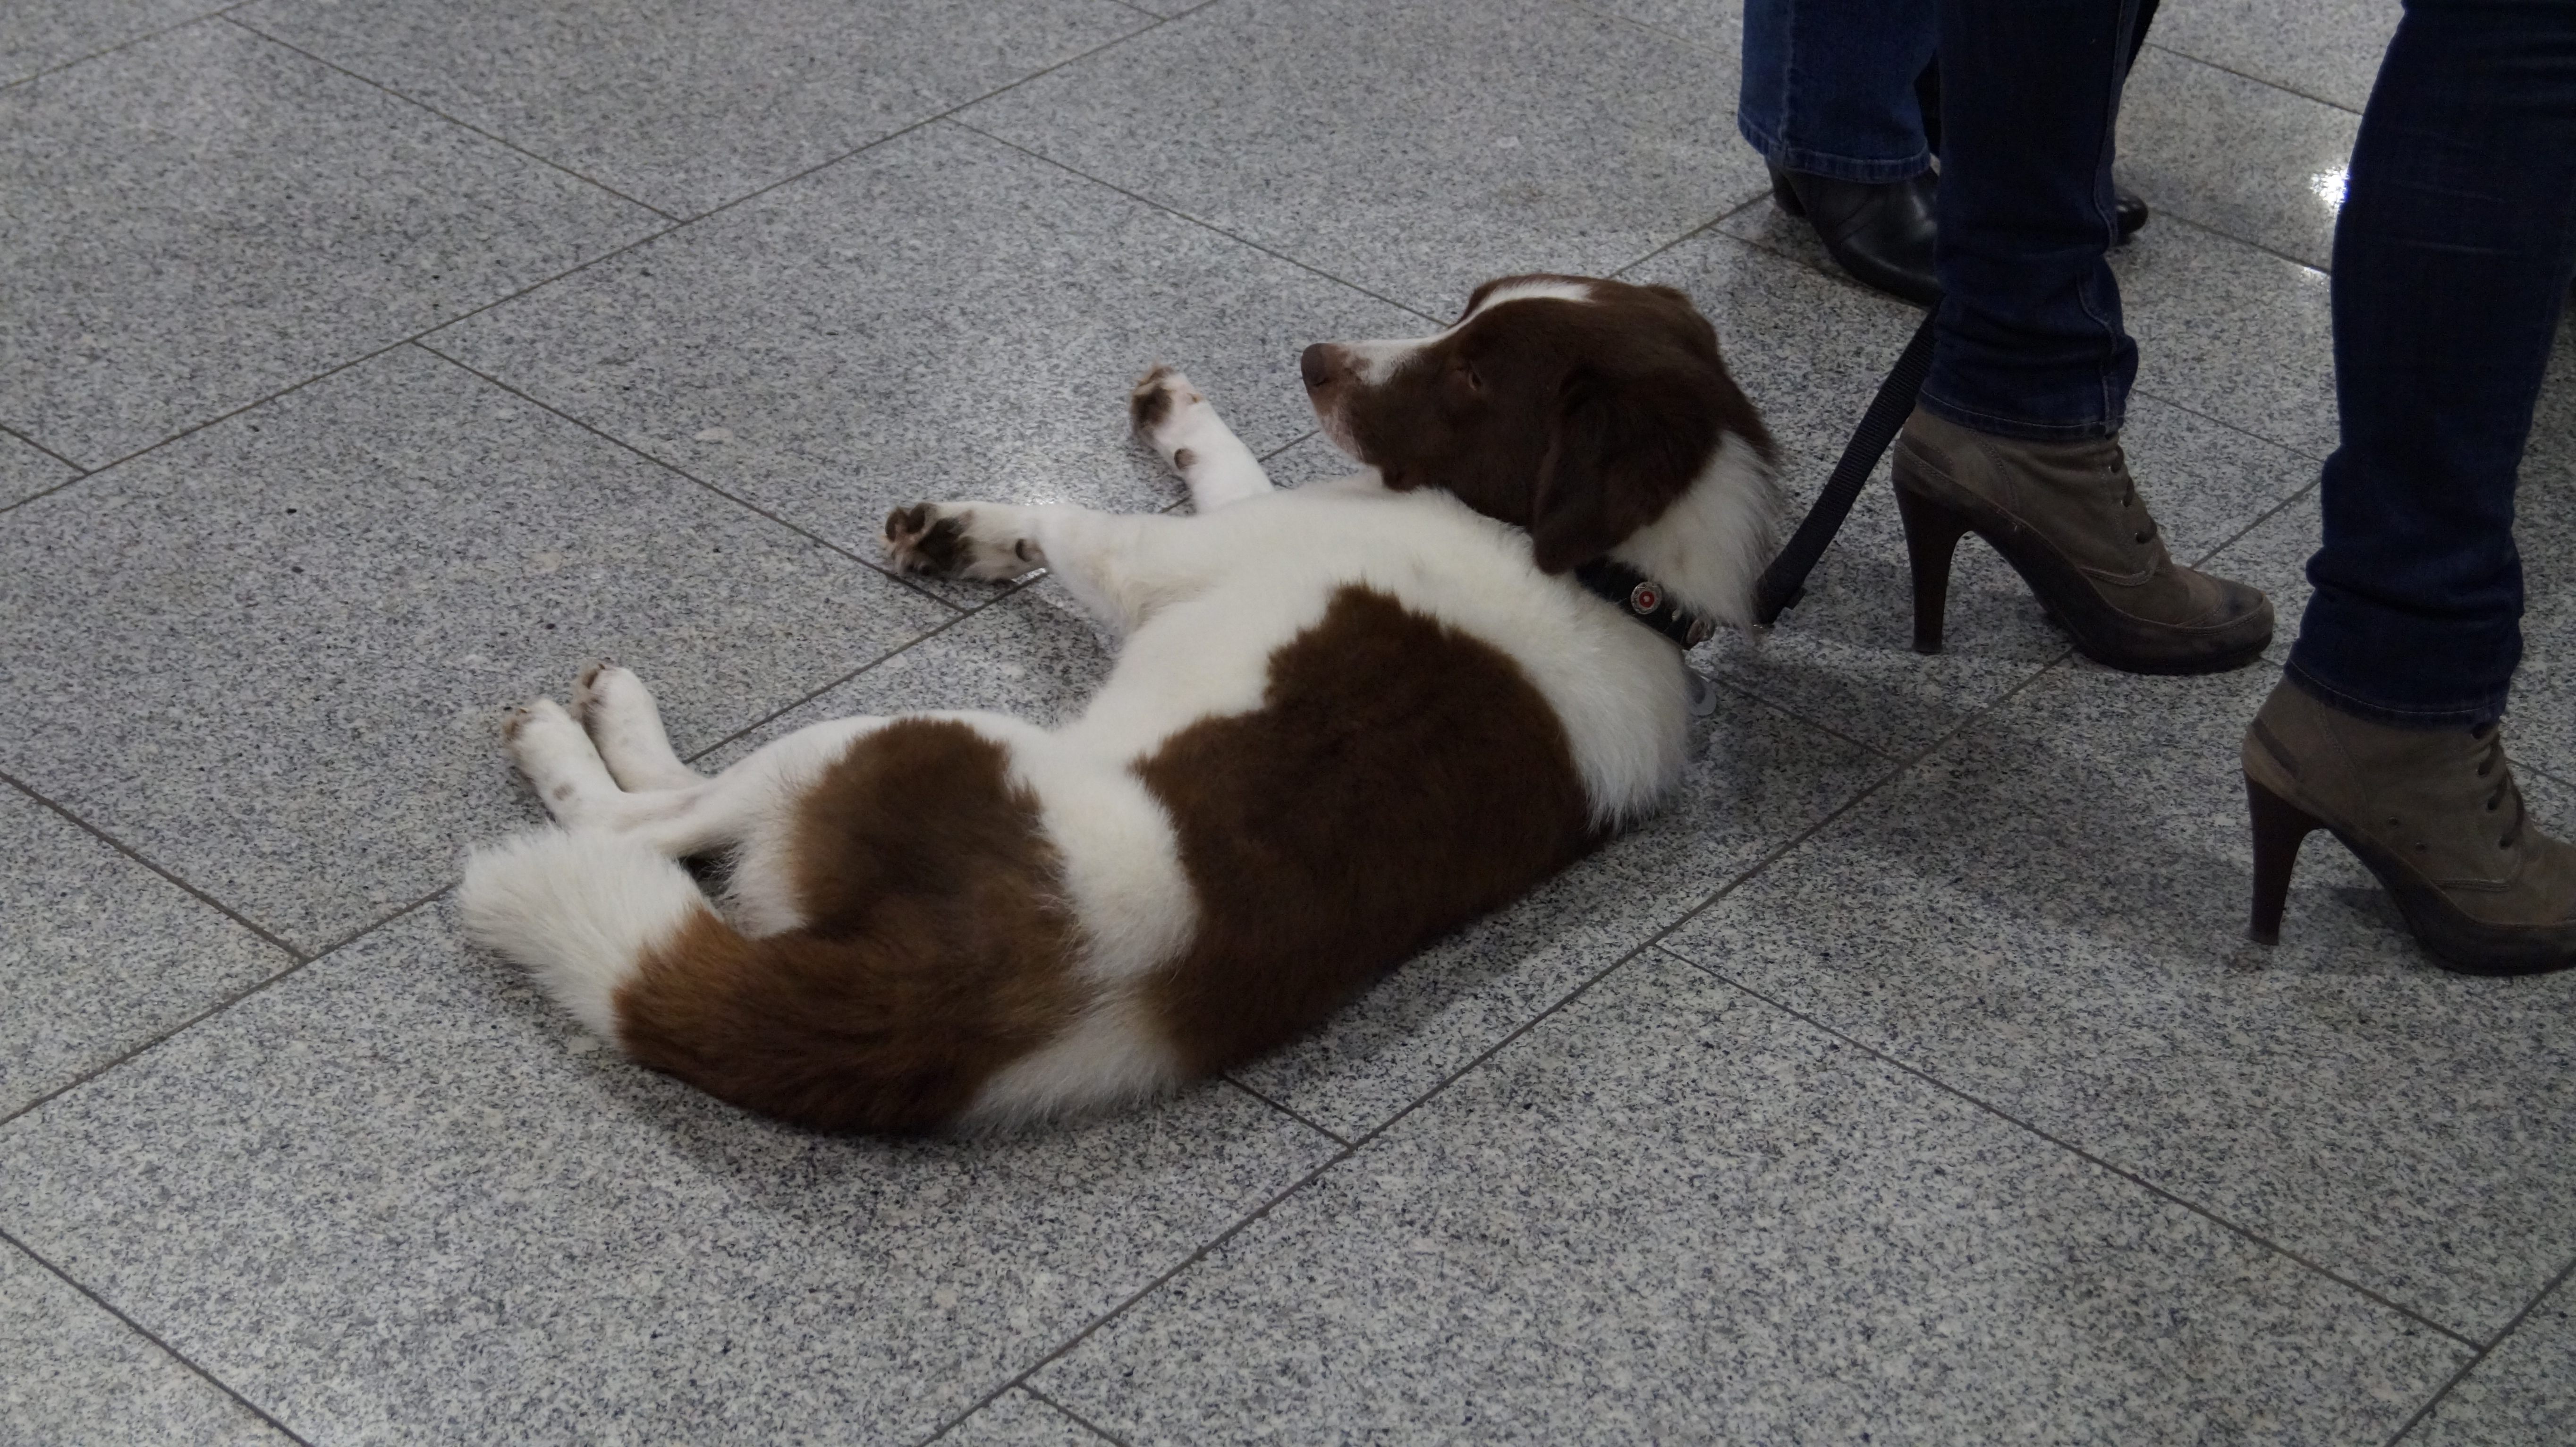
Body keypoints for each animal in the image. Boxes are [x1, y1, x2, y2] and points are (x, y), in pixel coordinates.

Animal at [458, 270, 1772, 1127]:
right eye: (1467, 307)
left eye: (1473, 374)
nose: (1313, 359)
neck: (1626, 581)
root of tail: (946, 995)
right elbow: (1219, 462)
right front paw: (1121, 443)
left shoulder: (1165, 558)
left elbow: (1066, 511)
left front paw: (981, 527)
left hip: (875, 742)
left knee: (649, 820)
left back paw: (585, 732)